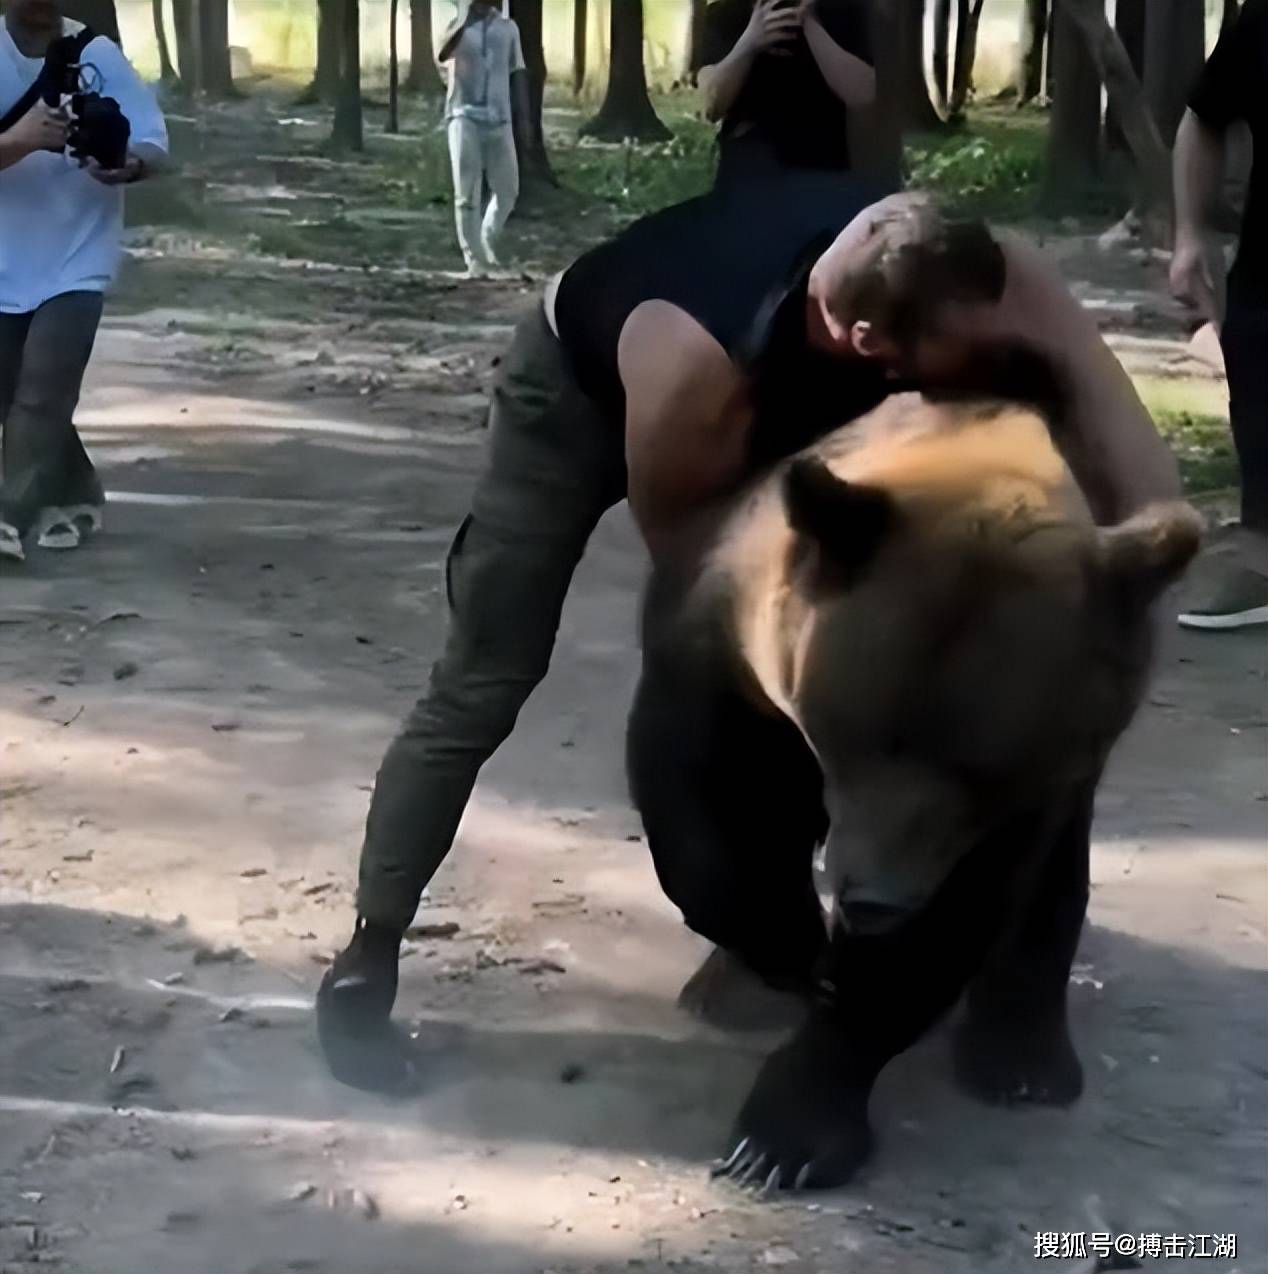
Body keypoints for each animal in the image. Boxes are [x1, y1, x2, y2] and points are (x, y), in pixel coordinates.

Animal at [626, 382, 1201, 1193]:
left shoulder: (1027, 789)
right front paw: (789, 947)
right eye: (863, 735)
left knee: (1053, 886)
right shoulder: (724, 636)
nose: (874, 900)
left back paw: (1024, 1060)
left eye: (988, 771)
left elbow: (949, 923)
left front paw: (787, 1132)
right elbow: (704, 796)